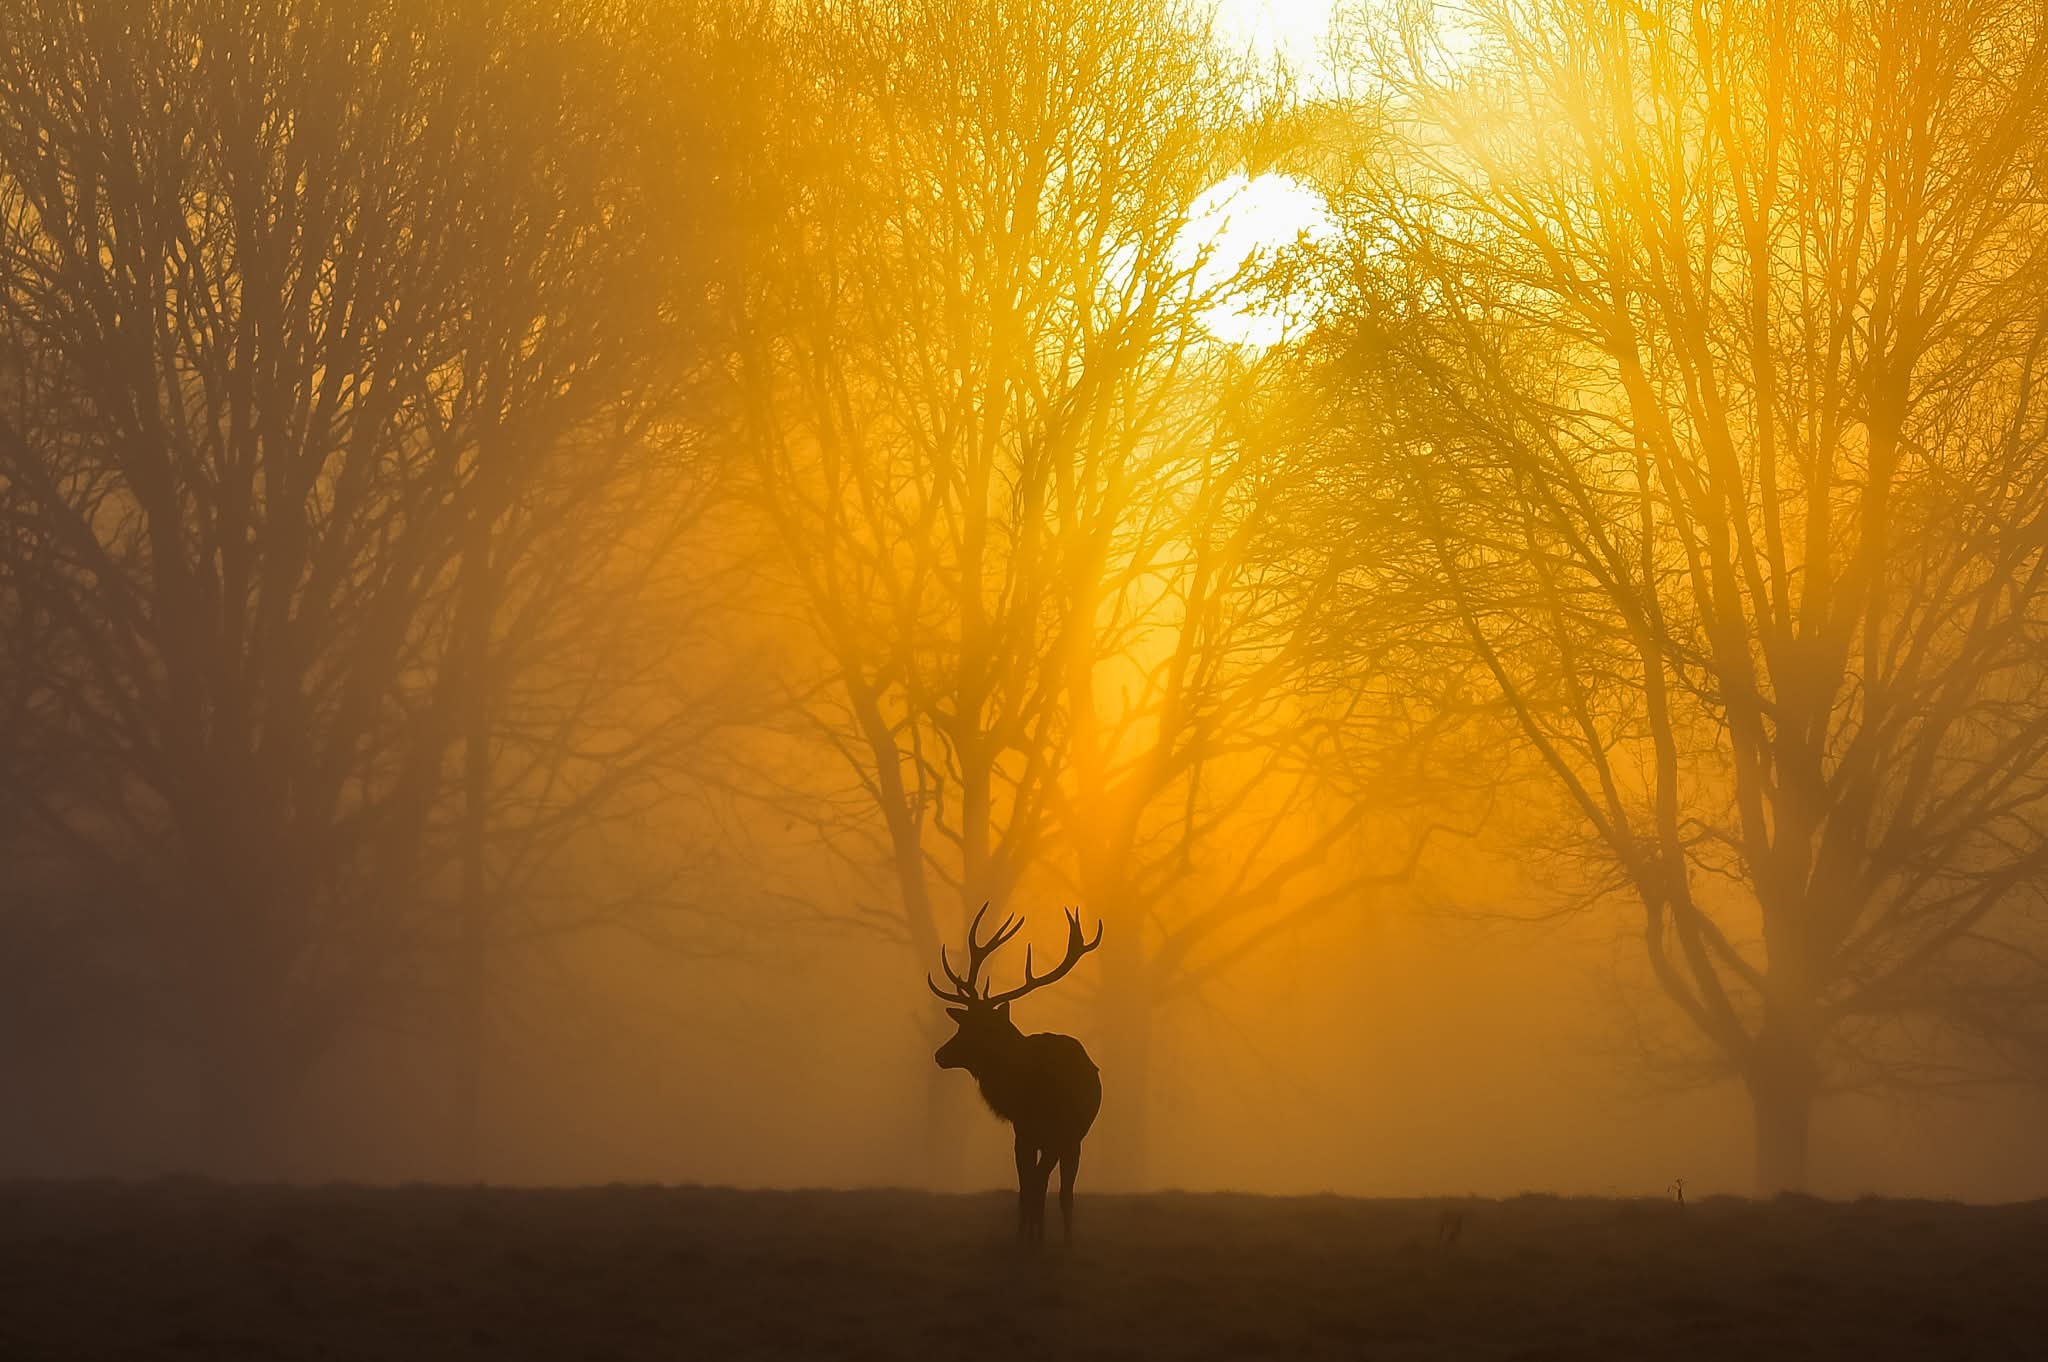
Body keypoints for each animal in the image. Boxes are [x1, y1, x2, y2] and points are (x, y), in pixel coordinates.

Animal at [928, 903, 1104, 1247]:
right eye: (963, 1024)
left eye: (977, 1029)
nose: (940, 1055)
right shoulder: (1024, 1132)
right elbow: (1027, 1187)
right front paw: (1026, 1237)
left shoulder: (1044, 1133)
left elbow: (1034, 1185)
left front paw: (1030, 1239)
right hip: (1061, 1138)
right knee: (1049, 1186)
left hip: (1069, 1135)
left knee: (1058, 1189)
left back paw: (1058, 1241)